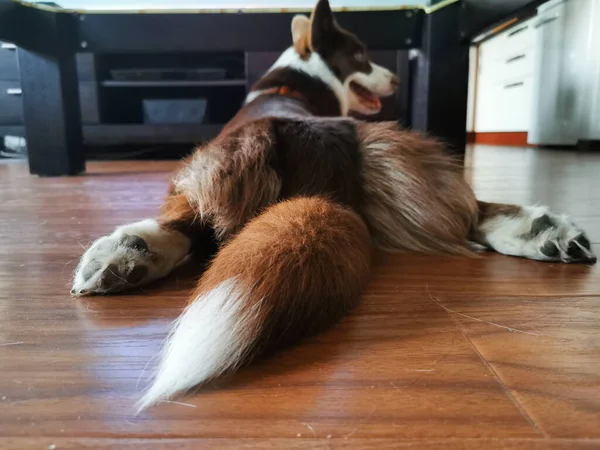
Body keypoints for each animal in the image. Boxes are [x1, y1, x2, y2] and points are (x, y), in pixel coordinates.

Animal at [70, 0, 596, 412]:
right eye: (362, 55)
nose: (396, 78)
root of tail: (320, 156)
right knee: (472, 214)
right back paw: (541, 232)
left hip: (198, 170)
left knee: (187, 222)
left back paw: (130, 248)